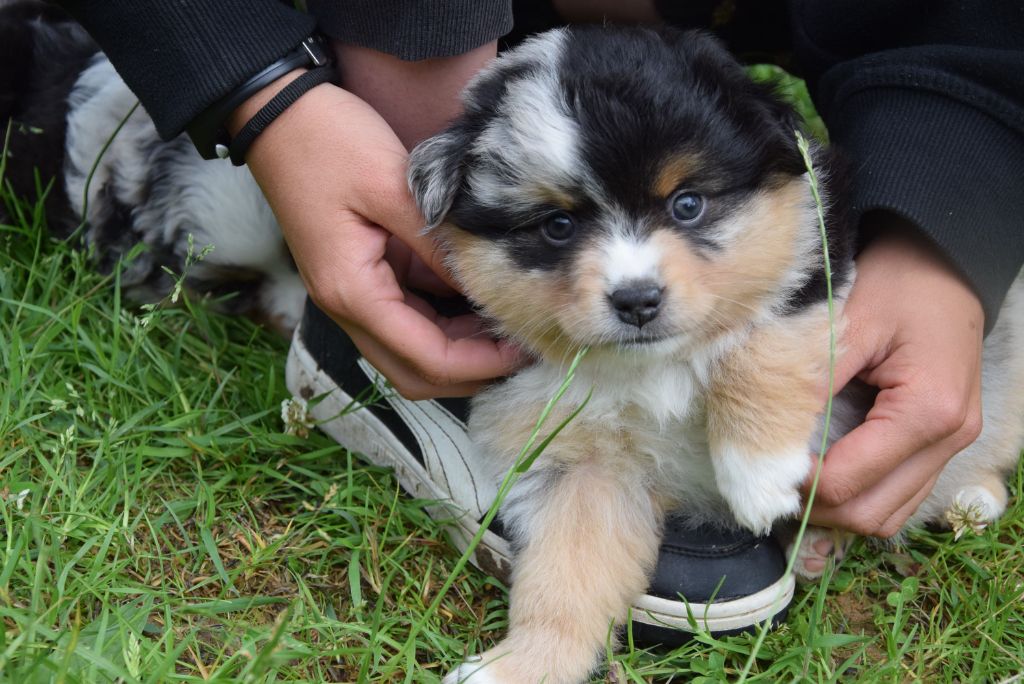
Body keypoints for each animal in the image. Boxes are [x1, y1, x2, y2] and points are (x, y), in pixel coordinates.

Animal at [407, 25, 1024, 684]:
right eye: (557, 225)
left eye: (687, 204)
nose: (637, 300)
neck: (650, 366)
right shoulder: (578, 461)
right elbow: (565, 575)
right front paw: (522, 665)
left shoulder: (812, 266)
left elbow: (751, 343)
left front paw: (757, 478)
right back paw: (817, 547)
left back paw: (970, 501)